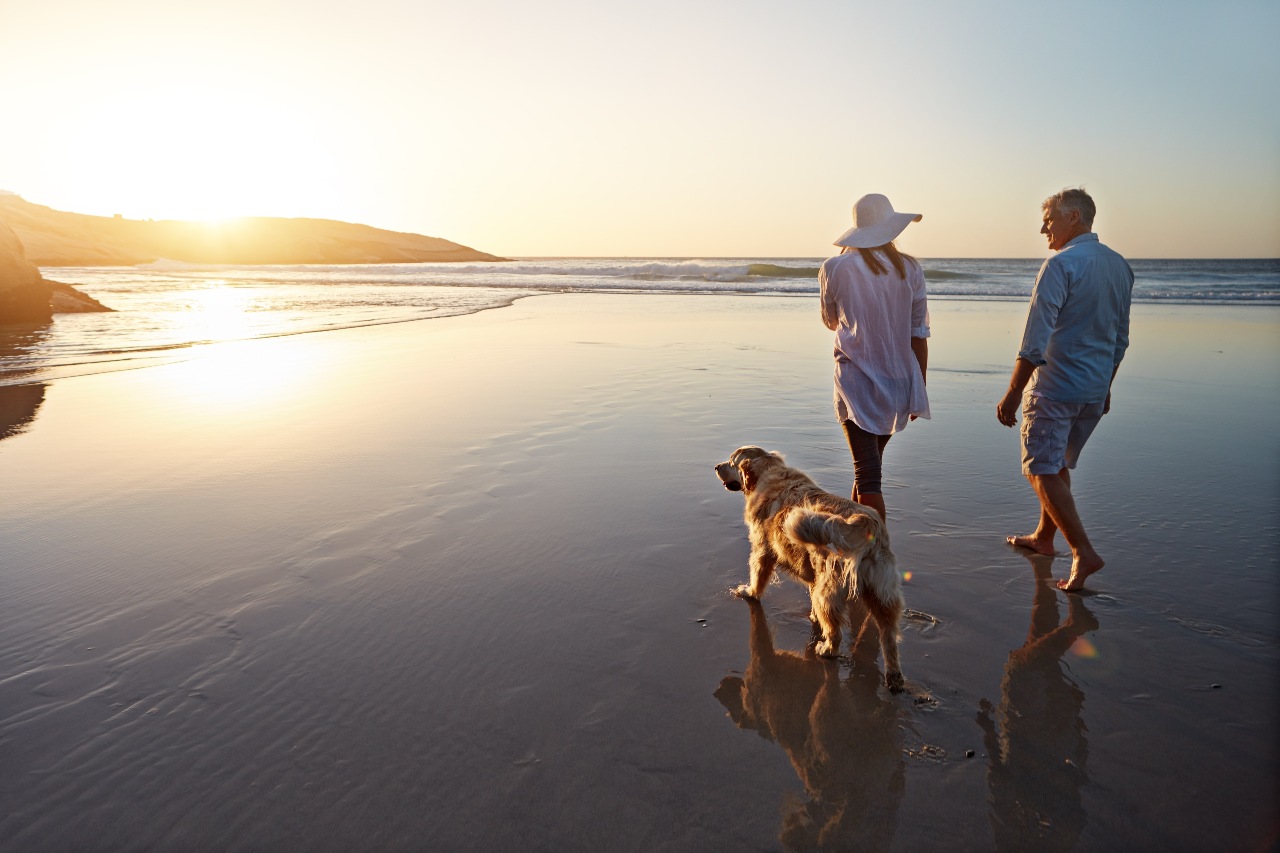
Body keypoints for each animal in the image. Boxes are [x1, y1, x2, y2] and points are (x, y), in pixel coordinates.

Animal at [716, 445, 906, 691]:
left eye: (731, 461)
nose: (716, 467)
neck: (769, 471)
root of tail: (866, 522)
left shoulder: (761, 548)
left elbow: (757, 575)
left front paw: (748, 592)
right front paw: (813, 616)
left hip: (830, 589)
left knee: (835, 630)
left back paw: (826, 649)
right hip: (882, 592)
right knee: (888, 636)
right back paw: (894, 676)